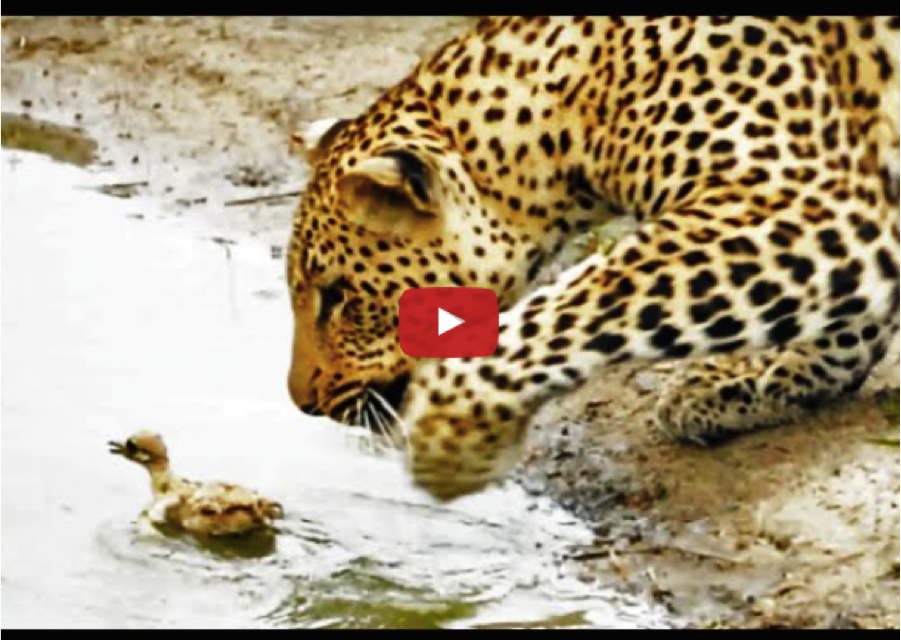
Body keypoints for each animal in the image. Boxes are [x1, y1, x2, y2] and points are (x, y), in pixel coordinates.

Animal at [286, 16, 900, 502]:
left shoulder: (800, 195)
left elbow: (573, 306)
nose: (303, 404)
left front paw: (451, 426)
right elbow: (852, 320)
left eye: (337, 296)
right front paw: (763, 380)